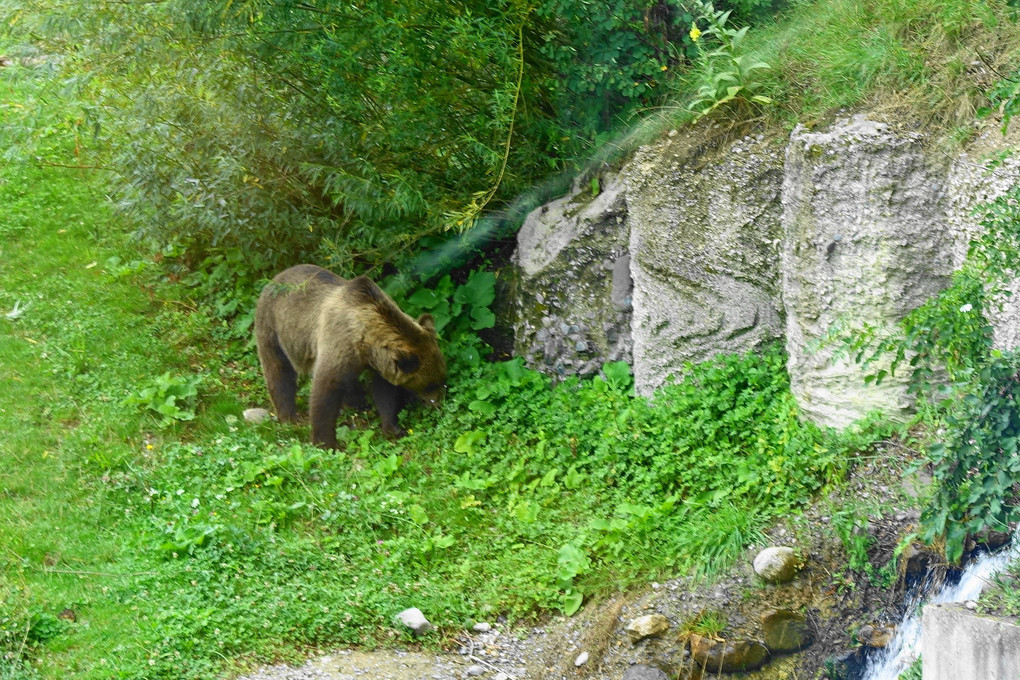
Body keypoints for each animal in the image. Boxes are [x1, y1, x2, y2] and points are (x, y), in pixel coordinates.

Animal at [255, 263, 446, 448]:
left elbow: (385, 392)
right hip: (273, 327)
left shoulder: (378, 363)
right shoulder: (338, 343)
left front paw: (393, 428)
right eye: (429, 385)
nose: (437, 403)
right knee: (278, 371)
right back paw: (288, 417)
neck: (365, 339)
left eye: (441, 380)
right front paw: (326, 443)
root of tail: (274, 279)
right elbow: (324, 391)